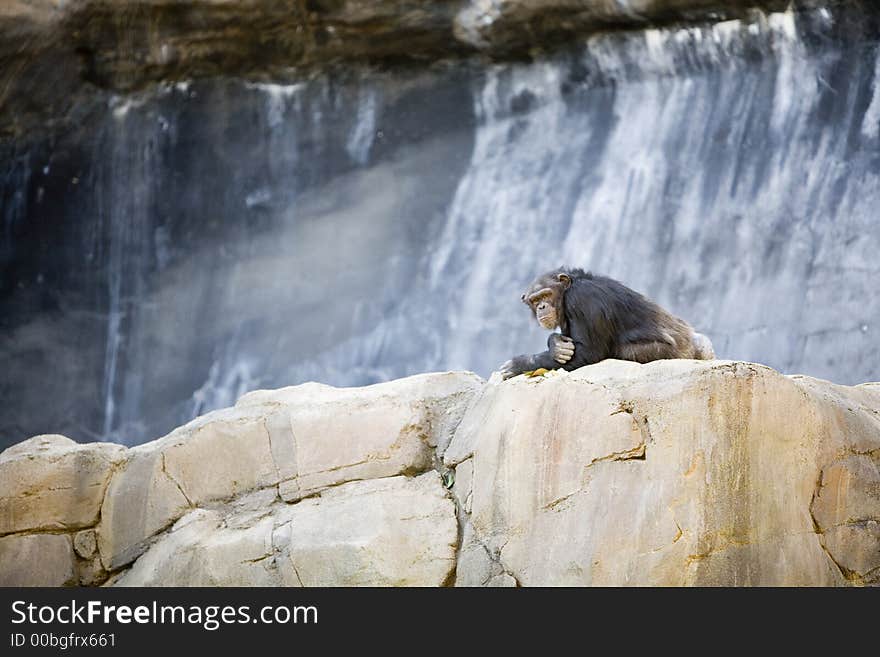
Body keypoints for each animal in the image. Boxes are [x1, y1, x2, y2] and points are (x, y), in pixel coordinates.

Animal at [498, 266, 712, 380]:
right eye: (535, 300)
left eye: (546, 295)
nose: (541, 306)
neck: (568, 291)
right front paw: (556, 344)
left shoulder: (583, 300)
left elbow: (586, 354)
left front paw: (519, 363)